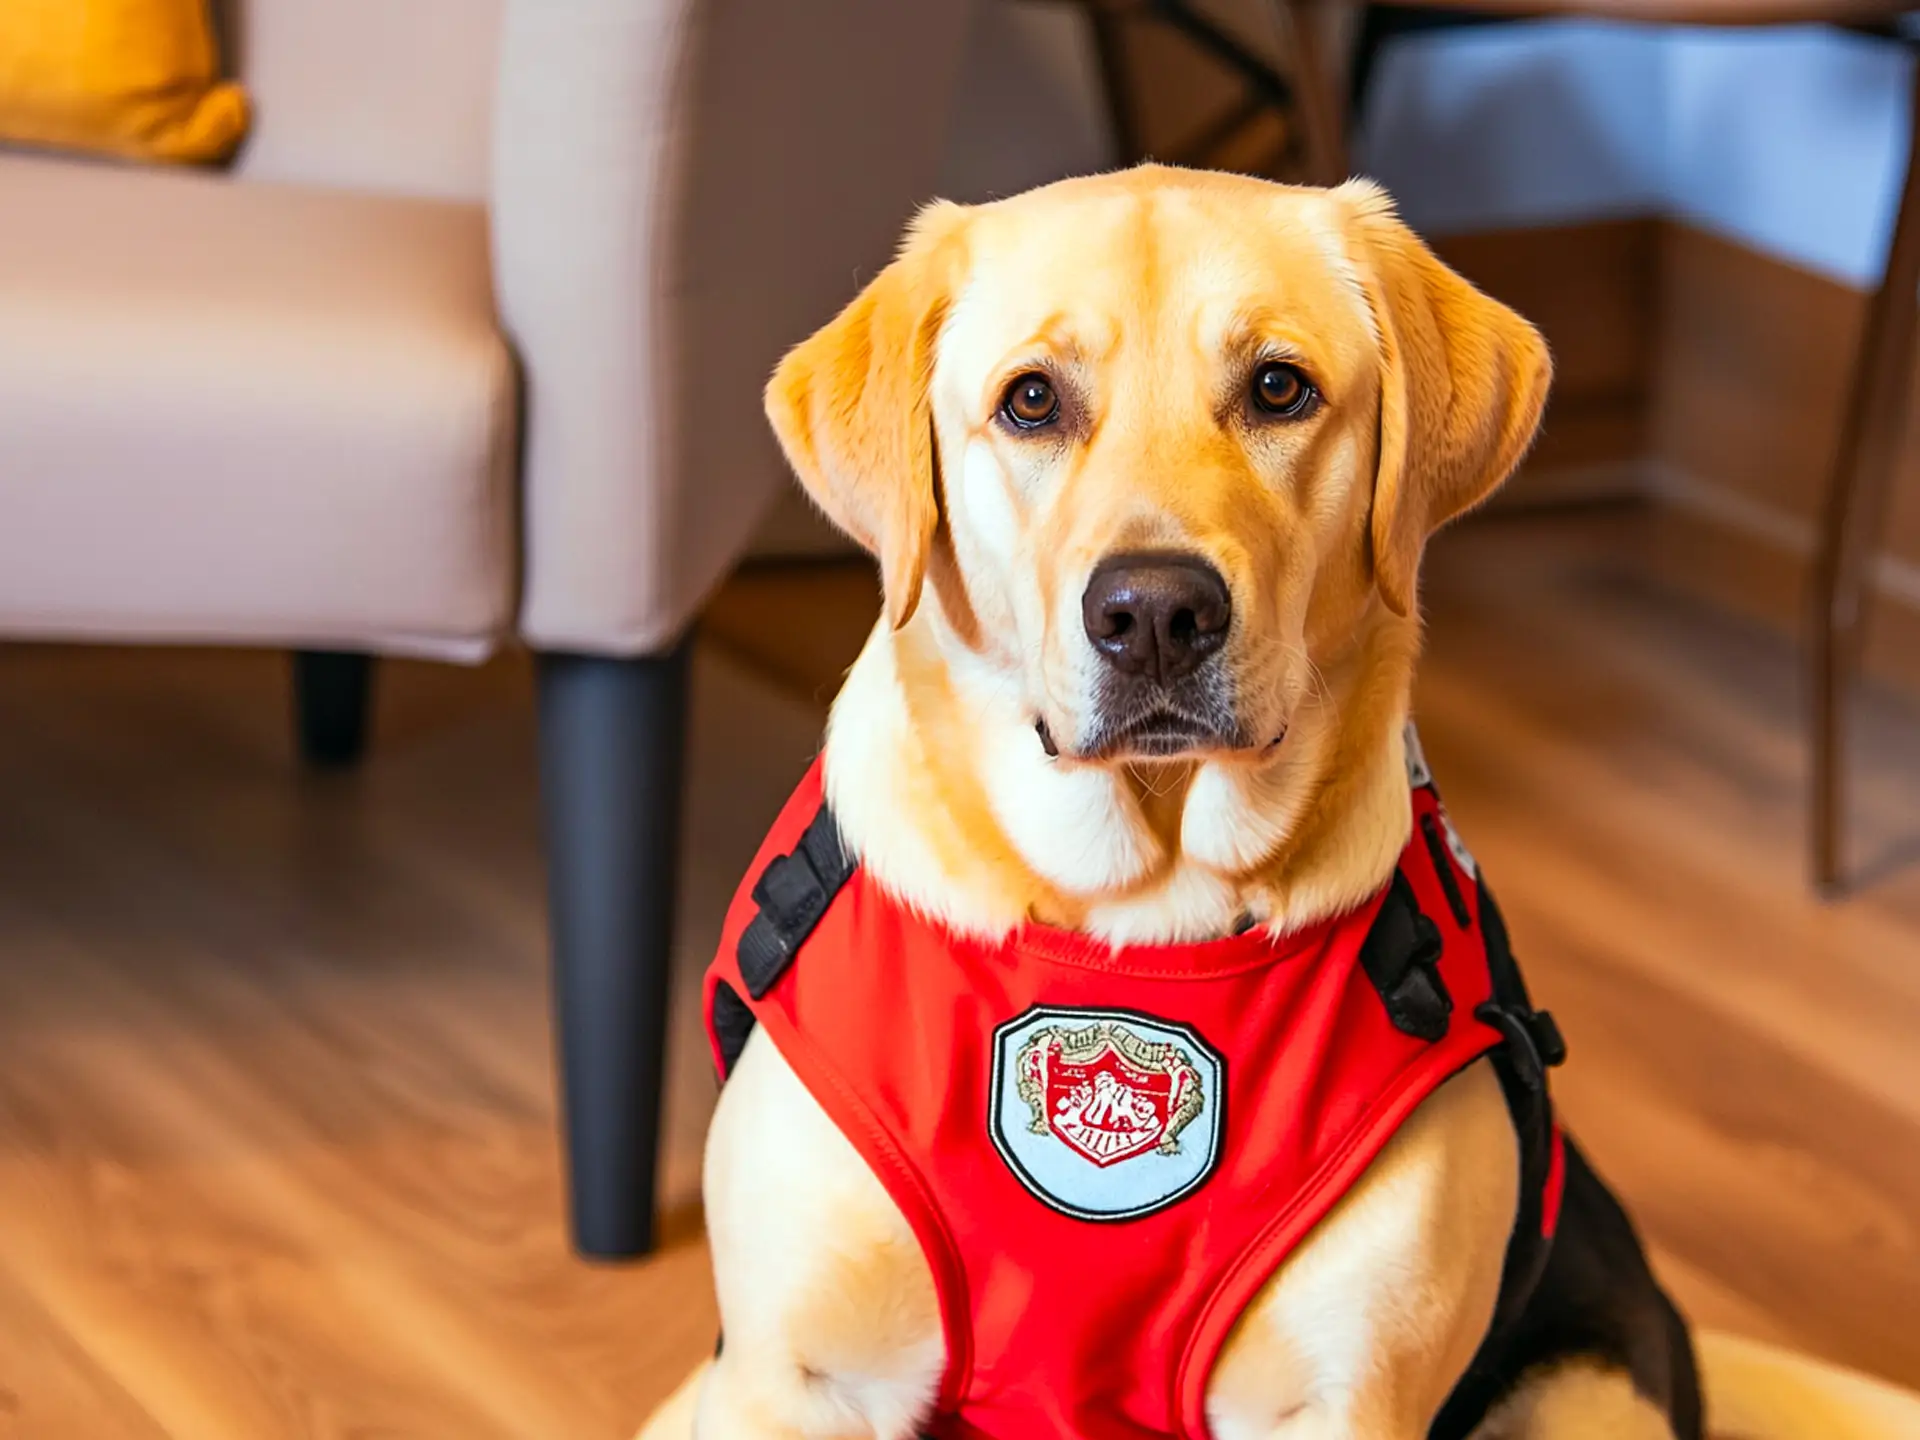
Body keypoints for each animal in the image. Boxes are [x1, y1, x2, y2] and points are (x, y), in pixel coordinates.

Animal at [656, 163, 1697, 1436]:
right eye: (1033, 402)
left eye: (1279, 388)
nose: (1155, 612)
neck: (1135, 914)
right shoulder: (791, 1377)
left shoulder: (1346, 1399)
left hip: (1586, 1393)